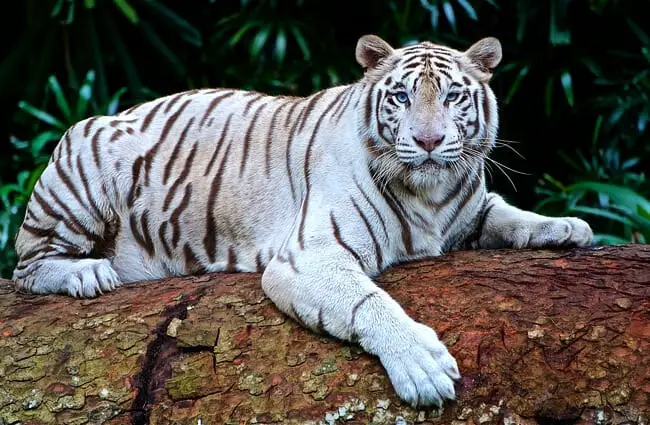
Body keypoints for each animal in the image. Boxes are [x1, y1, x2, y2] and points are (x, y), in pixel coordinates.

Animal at [11, 34, 592, 406]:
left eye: (452, 95)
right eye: (401, 96)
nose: (428, 141)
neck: (431, 193)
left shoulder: (470, 210)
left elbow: (508, 213)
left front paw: (567, 226)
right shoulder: (311, 256)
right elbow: (369, 302)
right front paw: (423, 367)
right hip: (84, 165)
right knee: (26, 267)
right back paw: (87, 273)